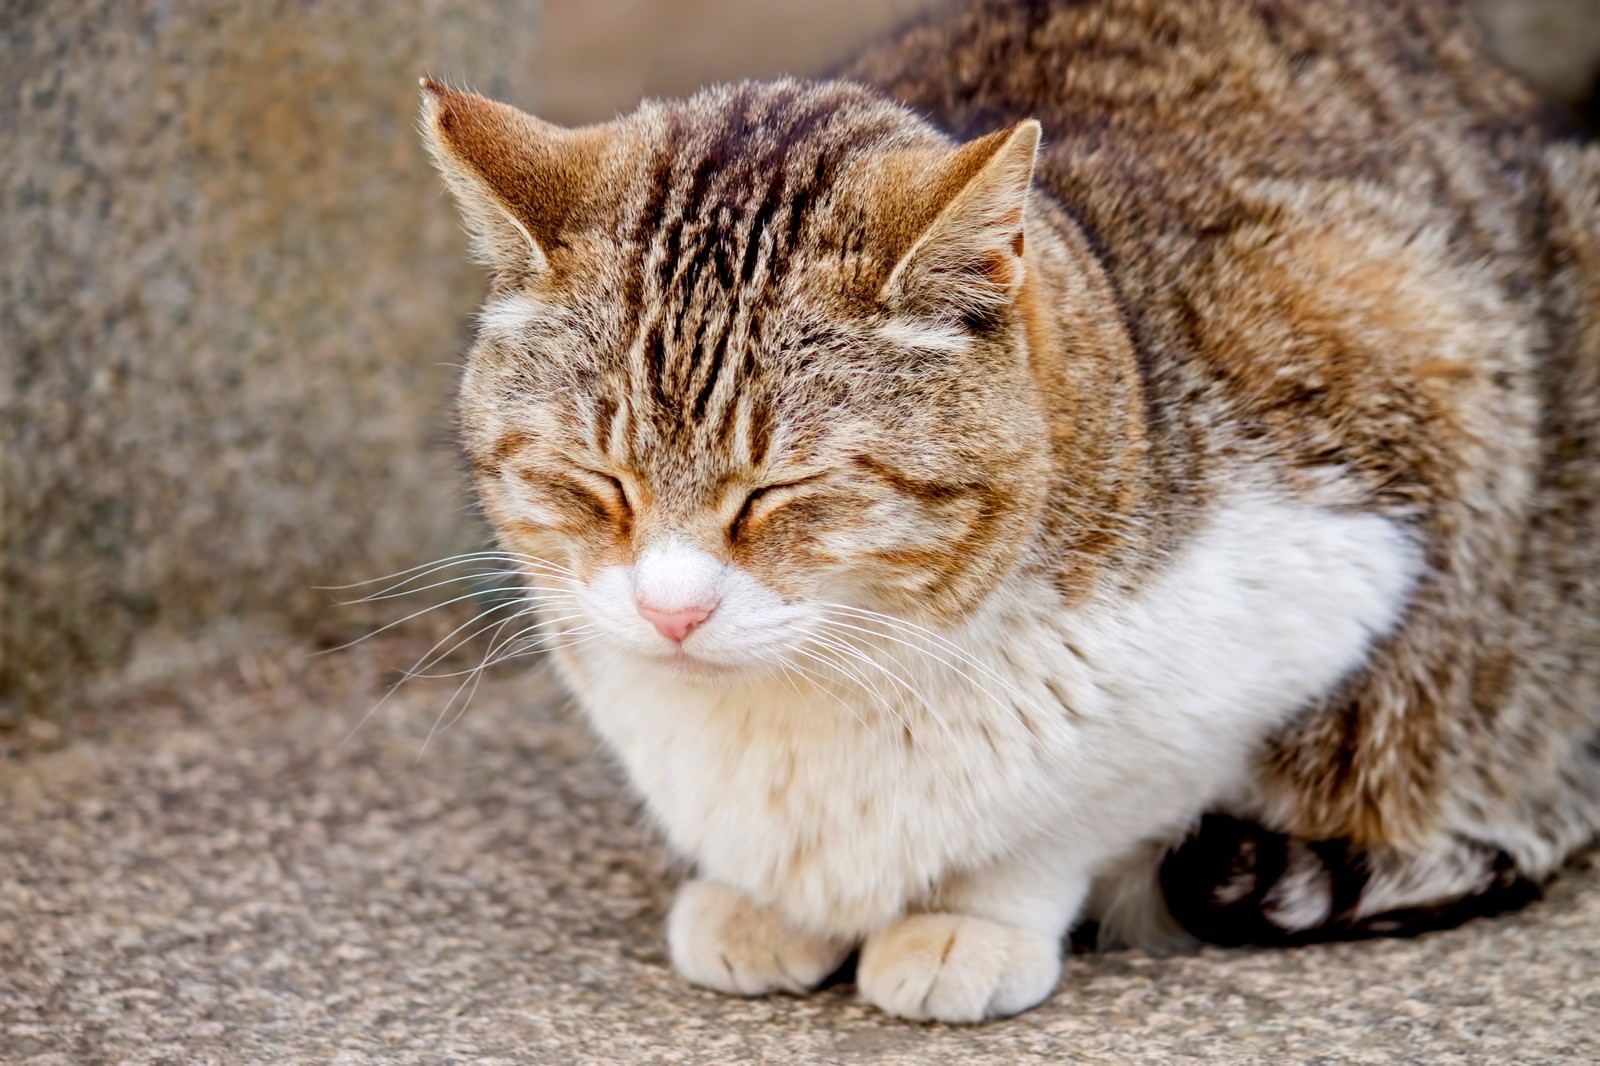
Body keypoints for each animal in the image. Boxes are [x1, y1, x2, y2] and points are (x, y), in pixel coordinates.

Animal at [422, 0, 1600, 1024]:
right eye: (597, 481)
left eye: (780, 489)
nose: (671, 612)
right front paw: (765, 900)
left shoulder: (1353, 536)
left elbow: (1077, 808)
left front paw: (971, 919)